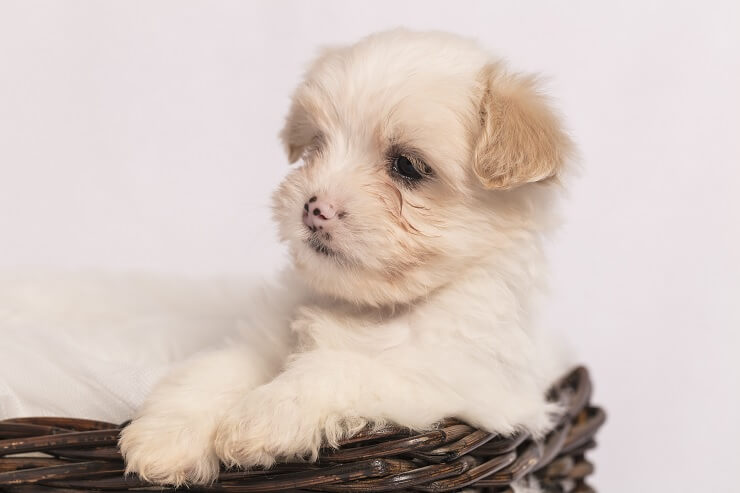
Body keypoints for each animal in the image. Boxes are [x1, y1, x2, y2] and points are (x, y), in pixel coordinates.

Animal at [118, 27, 576, 484]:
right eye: (318, 145)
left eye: (407, 166)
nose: (313, 208)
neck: (370, 306)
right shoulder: (263, 341)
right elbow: (218, 369)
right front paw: (166, 437)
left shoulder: (465, 388)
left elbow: (344, 367)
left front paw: (262, 417)